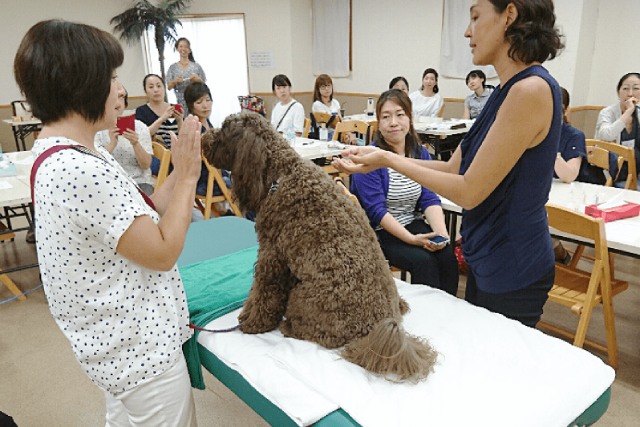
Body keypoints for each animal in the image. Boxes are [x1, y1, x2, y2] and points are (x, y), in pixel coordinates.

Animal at [202, 112, 438, 382]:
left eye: (224, 131)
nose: (203, 139)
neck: (282, 173)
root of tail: (377, 327)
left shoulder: (272, 255)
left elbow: (262, 293)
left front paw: (252, 322)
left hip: (303, 297)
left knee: (315, 333)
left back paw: (288, 326)